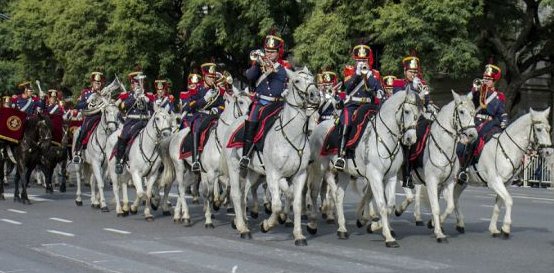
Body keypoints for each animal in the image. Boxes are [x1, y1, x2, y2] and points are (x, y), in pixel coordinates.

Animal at [158, 87, 251, 225]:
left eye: (251, 101)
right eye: (240, 102)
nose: (249, 118)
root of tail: (175, 135)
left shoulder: (227, 172)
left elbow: (227, 187)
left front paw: (219, 203)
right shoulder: (211, 173)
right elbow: (209, 194)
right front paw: (209, 218)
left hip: (192, 171)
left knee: (183, 188)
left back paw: (178, 215)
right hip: (179, 167)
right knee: (181, 188)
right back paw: (186, 216)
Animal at [222, 66, 320, 244]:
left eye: (312, 78)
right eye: (297, 81)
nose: (315, 95)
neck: (291, 135)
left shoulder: (300, 175)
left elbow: (296, 203)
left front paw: (298, 235)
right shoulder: (273, 175)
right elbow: (276, 205)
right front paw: (267, 225)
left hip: (253, 172)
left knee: (245, 191)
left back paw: (243, 221)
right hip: (235, 168)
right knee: (236, 194)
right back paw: (242, 228)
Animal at [306, 90, 418, 248]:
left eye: (418, 114)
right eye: (407, 111)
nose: (411, 139)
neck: (384, 137)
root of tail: (318, 127)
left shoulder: (391, 176)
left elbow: (389, 205)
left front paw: (374, 225)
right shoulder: (375, 176)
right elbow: (381, 205)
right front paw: (388, 237)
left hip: (344, 173)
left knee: (338, 195)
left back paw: (342, 229)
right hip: (319, 168)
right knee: (314, 192)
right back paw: (312, 224)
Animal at [390, 90, 476, 241]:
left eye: (474, 112)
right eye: (461, 111)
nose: (473, 135)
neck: (442, 147)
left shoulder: (449, 182)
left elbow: (449, 206)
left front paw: (434, 224)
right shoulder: (431, 181)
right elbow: (435, 207)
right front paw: (439, 233)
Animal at [450, 107, 548, 237]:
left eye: (549, 128)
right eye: (539, 129)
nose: (548, 151)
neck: (507, 148)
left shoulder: (505, 183)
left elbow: (499, 204)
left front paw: (494, 229)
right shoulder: (494, 182)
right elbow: (509, 201)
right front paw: (506, 228)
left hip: (461, 182)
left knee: (454, 196)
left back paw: (458, 224)